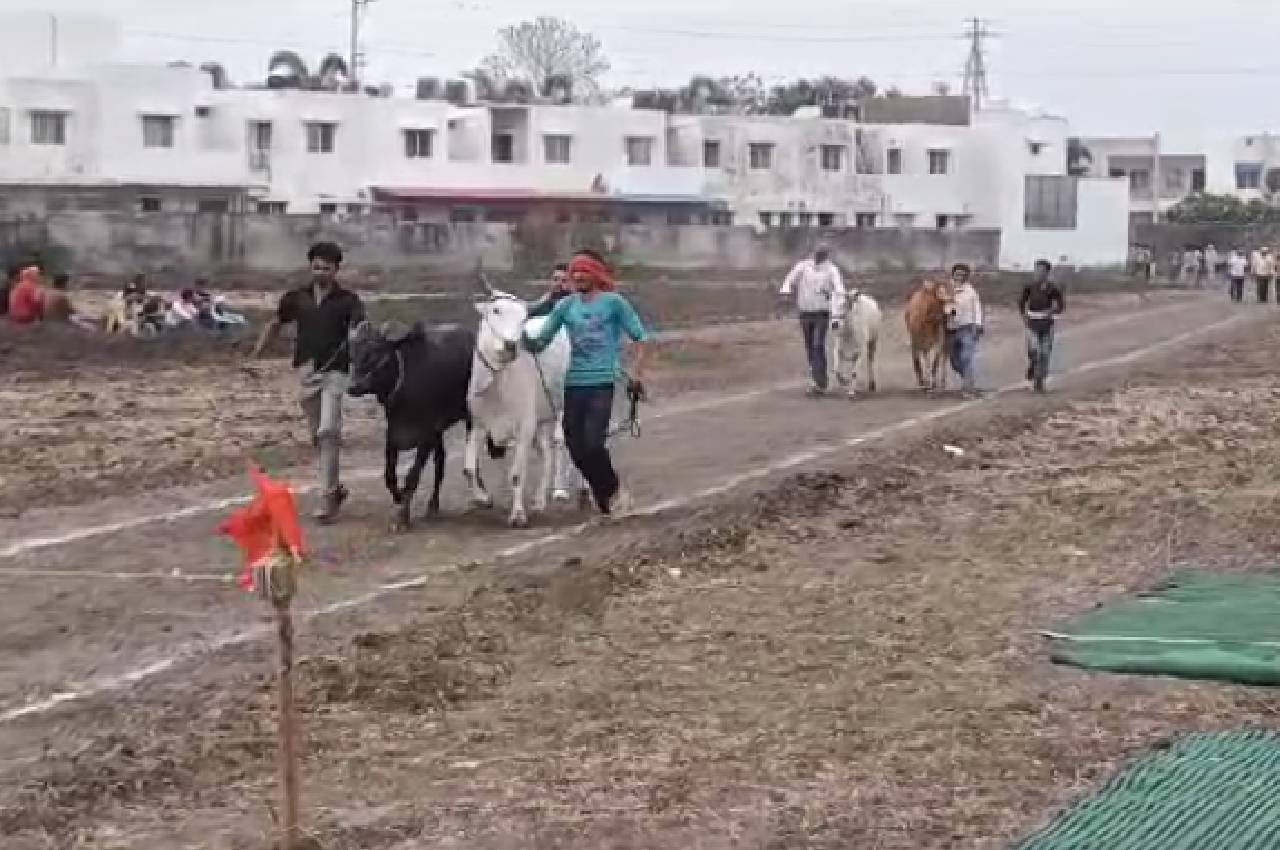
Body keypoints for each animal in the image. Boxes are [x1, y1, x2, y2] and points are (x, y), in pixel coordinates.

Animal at [345, 322, 476, 527]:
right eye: (353, 354)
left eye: (376, 352)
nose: (353, 387)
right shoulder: (393, 434)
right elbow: (389, 476)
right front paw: (399, 498)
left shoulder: (426, 435)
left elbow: (412, 475)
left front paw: (402, 516)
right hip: (438, 433)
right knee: (440, 461)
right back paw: (433, 504)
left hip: (468, 418)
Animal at [465, 295, 576, 527]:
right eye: (495, 310)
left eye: (523, 317)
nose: (510, 345)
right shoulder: (478, 425)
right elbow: (469, 468)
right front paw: (483, 499)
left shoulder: (524, 428)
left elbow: (516, 475)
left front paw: (517, 515)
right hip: (541, 420)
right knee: (547, 453)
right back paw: (540, 500)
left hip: (562, 408)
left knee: (563, 442)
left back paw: (563, 490)